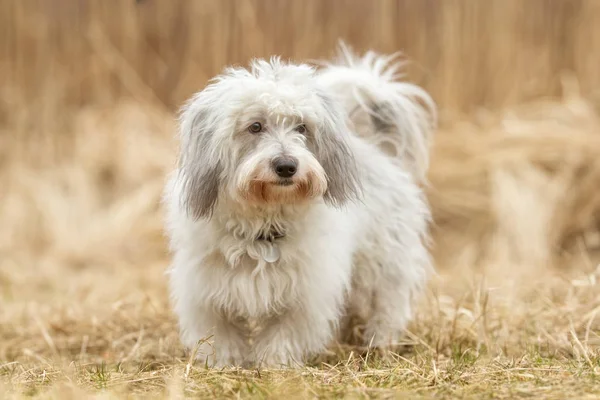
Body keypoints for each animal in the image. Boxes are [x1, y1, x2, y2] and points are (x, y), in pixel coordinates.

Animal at [164, 44, 436, 368]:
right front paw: (223, 366)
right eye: (255, 126)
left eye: (302, 127)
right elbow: (221, 336)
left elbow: (282, 335)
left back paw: (381, 342)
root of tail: (376, 149)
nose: (286, 166)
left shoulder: (304, 294)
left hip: (385, 265)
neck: (264, 228)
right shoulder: (207, 292)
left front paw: (275, 366)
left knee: (388, 305)